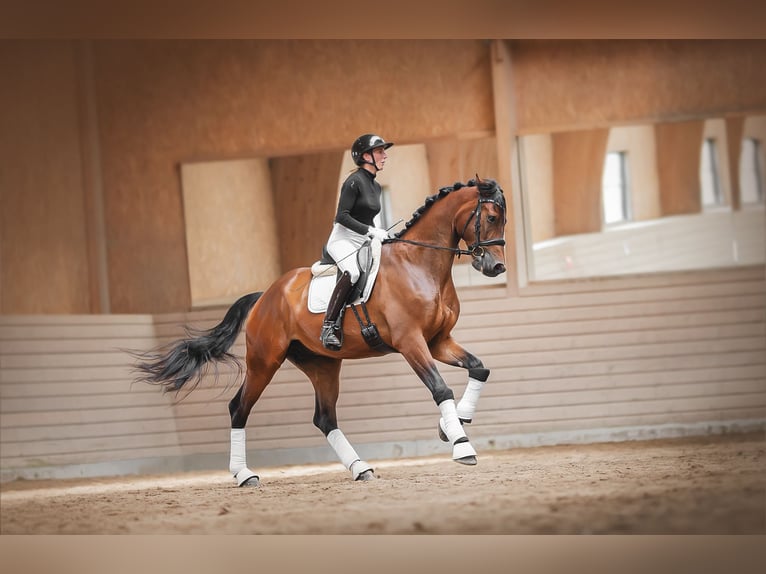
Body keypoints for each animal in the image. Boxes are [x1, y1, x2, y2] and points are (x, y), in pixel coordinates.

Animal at [132, 176, 507, 486]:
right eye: (491, 218)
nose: (496, 266)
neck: (419, 265)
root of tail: (265, 295)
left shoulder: (438, 341)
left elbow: (480, 369)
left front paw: (453, 425)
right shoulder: (411, 342)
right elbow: (440, 389)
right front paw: (461, 446)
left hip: (322, 364)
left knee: (325, 418)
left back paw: (360, 468)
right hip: (264, 361)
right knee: (239, 408)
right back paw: (244, 474)